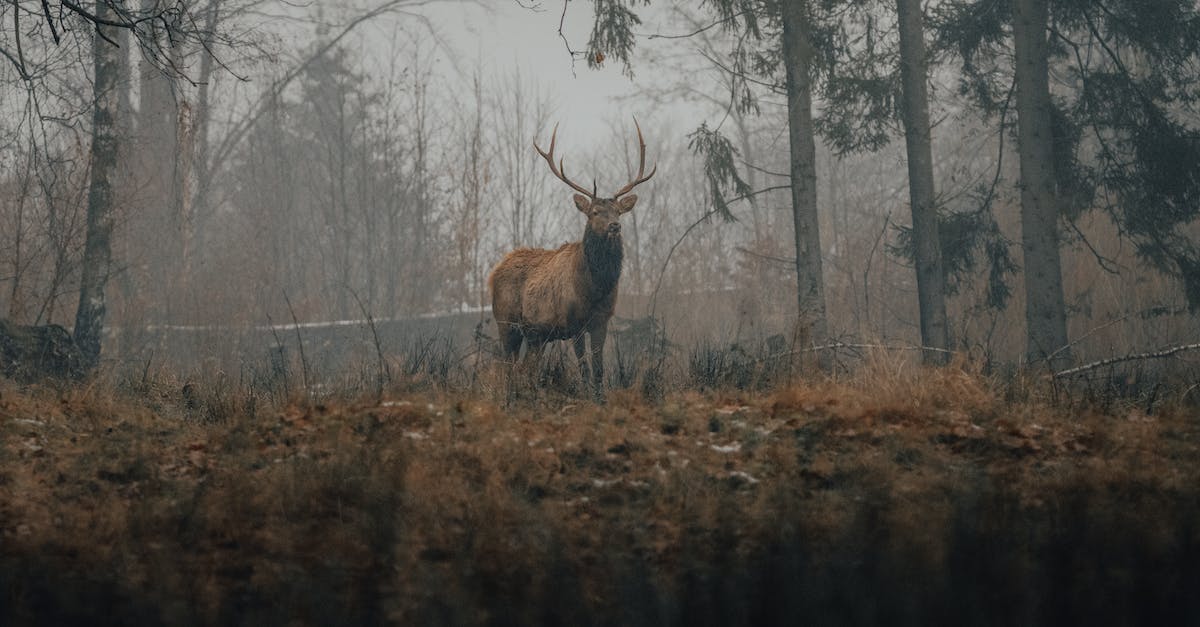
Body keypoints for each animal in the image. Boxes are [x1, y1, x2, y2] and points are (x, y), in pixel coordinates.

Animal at [487, 119, 657, 403]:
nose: (615, 226)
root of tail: (493, 272)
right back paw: (509, 399)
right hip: (506, 322)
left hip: (536, 335)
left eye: (618, 211)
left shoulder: (601, 321)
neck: (595, 289)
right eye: (595, 212)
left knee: (526, 367)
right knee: (507, 365)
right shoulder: (575, 322)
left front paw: (601, 399)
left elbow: (598, 367)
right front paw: (587, 397)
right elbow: (584, 366)